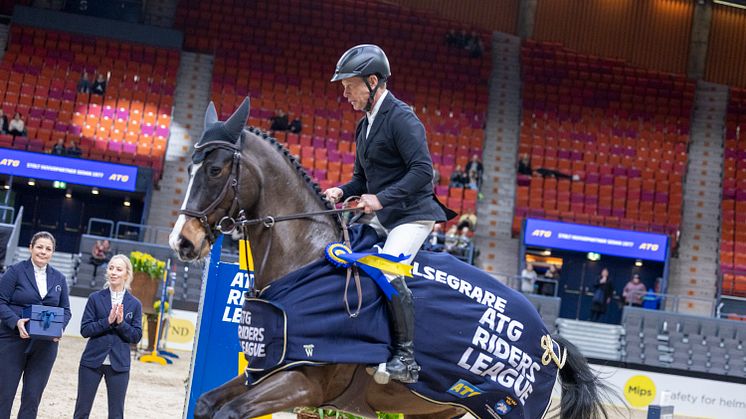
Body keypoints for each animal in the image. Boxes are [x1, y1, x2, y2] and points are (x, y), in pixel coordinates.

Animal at [169, 99, 612, 419]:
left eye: (214, 169)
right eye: (189, 168)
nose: (182, 242)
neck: (304, 262)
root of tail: (550, 340)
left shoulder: (304, 381)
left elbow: (229, 412)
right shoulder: (261, 370)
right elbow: (207, 404)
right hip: (438, 410)